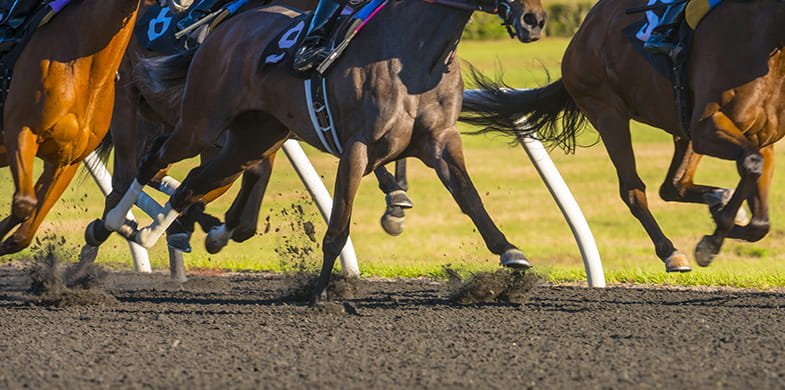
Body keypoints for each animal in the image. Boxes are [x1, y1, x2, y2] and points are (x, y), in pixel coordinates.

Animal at [102, 0, 544, 302]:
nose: (534, 19)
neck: (414, 53)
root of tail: (225, 31)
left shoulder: (442, 140)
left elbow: (470, 199)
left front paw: (511, 255)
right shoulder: (357, 147)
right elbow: (339, 224)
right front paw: (321, 292)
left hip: (253, 137)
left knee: (194, 180)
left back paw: (167, 230)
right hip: (200, 123)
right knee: (151, 161)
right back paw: (118, 224)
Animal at [460, 0, 784, 272]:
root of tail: (582, 33)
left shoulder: (762, 138)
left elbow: (760, 218)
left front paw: (727, 219)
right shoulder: (706, 126)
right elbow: (752, 164)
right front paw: (712, 241)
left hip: (679, 127)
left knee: (673, 186)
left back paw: (718, 199)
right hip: (608, 113)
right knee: (633, 190)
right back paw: (671, 252)